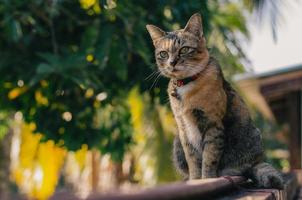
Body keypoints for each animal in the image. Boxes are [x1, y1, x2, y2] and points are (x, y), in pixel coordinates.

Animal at [146, 13, 284, 188]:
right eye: (163, 53)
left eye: (184, 49)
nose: (172, 62)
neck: (186, 86)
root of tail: (257, 161)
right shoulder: (184, 129)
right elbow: (192, 159)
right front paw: (195, 180)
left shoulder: (212, 123)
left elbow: (209, 157)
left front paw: (207, 179)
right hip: (177, 142)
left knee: (241, 170)